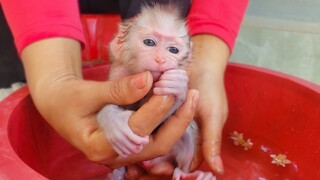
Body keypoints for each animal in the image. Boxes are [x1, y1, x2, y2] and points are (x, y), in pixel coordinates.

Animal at [96, 3, 214, 180]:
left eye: (173, 50)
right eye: (149, 42)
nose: (161, 59)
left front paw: (177, 85)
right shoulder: (118, 74)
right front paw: (114, 120)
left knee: (187, 136)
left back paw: (185, 173)